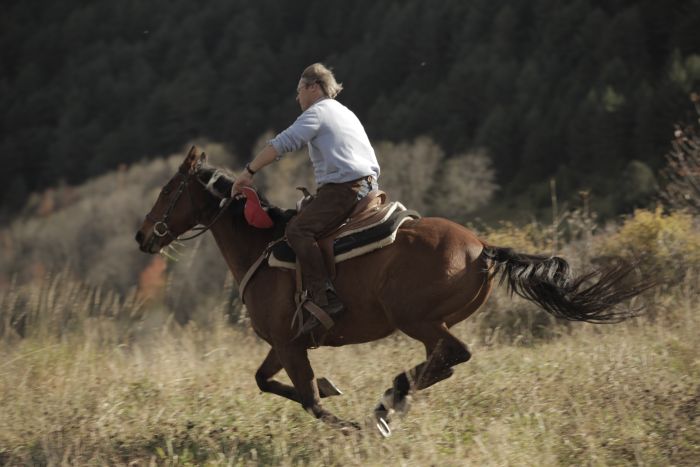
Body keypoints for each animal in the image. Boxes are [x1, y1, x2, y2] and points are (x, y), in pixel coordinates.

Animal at [135, 148, 652, 436]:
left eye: (166, 191)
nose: (142, 236)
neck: (262, 247)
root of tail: (482, 248)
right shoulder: (285, 344)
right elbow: (269, 383)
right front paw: (336, 390)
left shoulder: (288, 343)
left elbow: (311, 401)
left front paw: (351, 426)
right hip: (427, 323)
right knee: (444, 362)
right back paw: (393, 397)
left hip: (416, 319)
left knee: (452, 355)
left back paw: (388, 401)